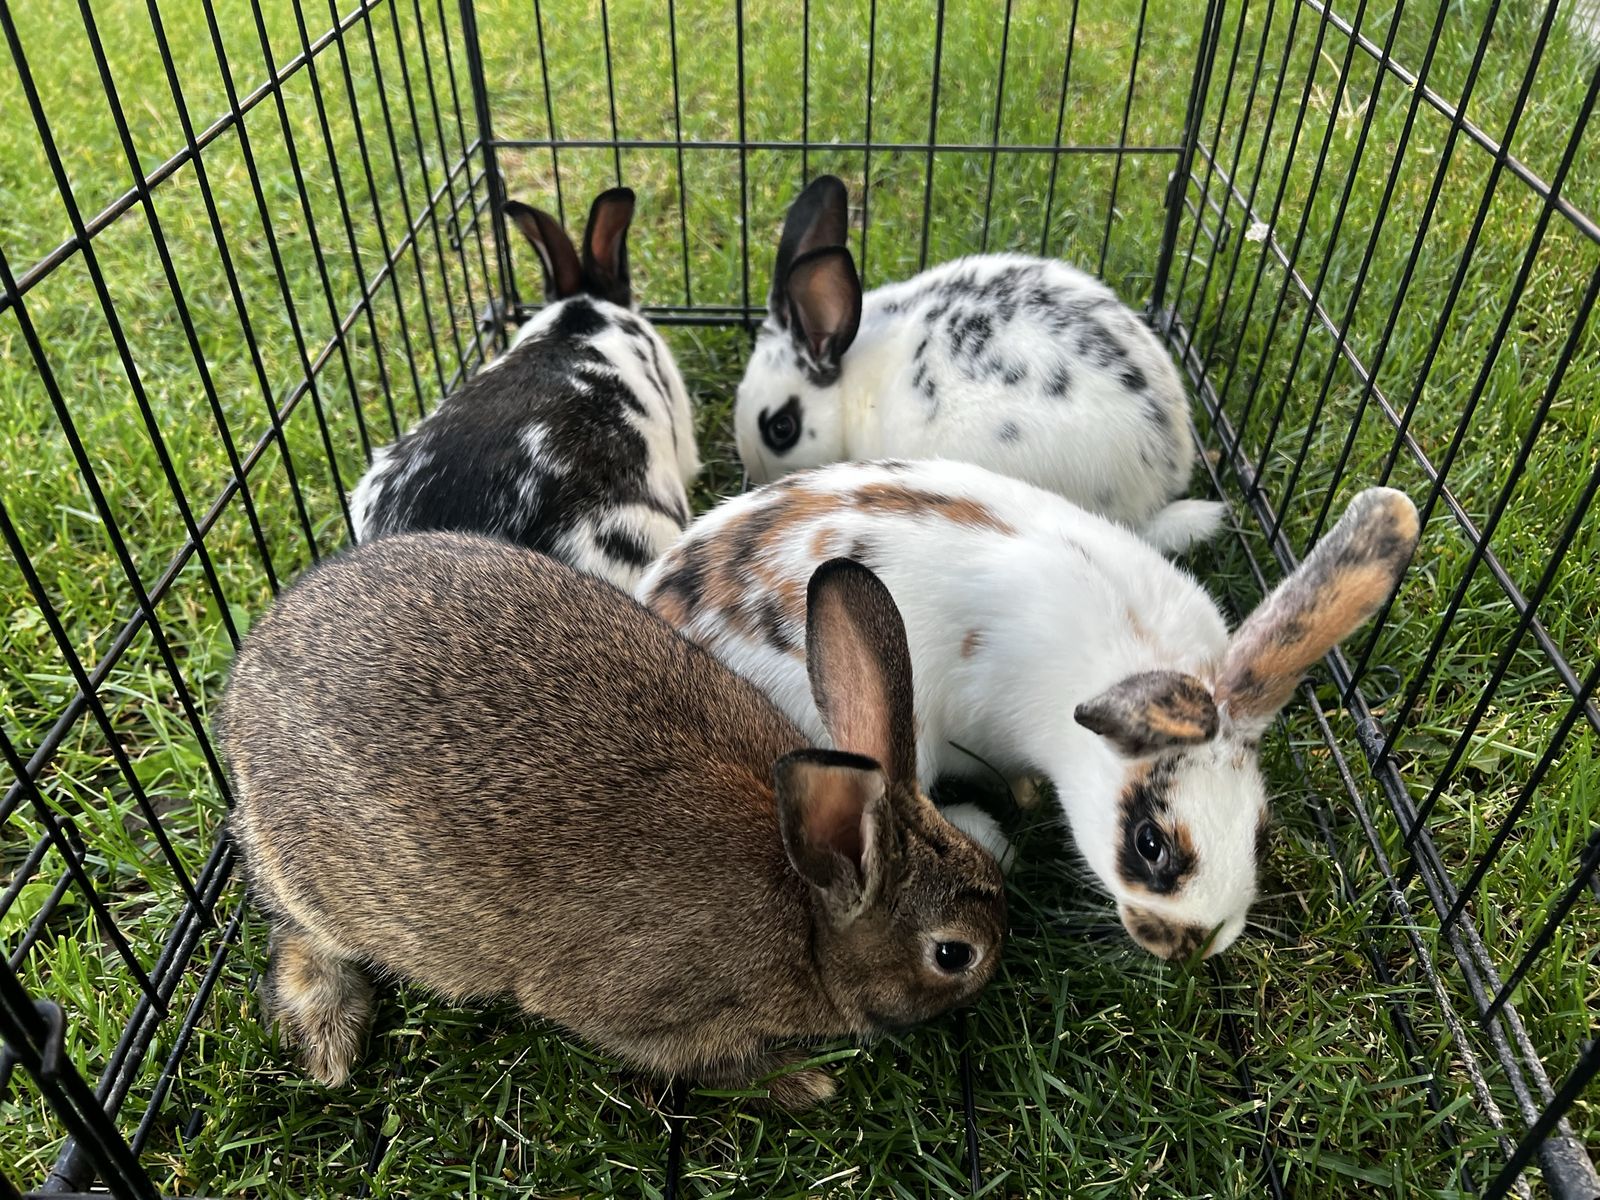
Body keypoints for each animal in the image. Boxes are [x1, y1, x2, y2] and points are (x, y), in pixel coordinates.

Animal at [220, 532, 1006, 1107]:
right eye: (953, 955)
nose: (997, 969)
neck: (809, 914)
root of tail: (251, 667)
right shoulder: (651, 1014)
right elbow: (702, 1063)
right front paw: (801, 1084)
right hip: (329, 888)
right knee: (297, 934)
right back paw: (329, 1041)